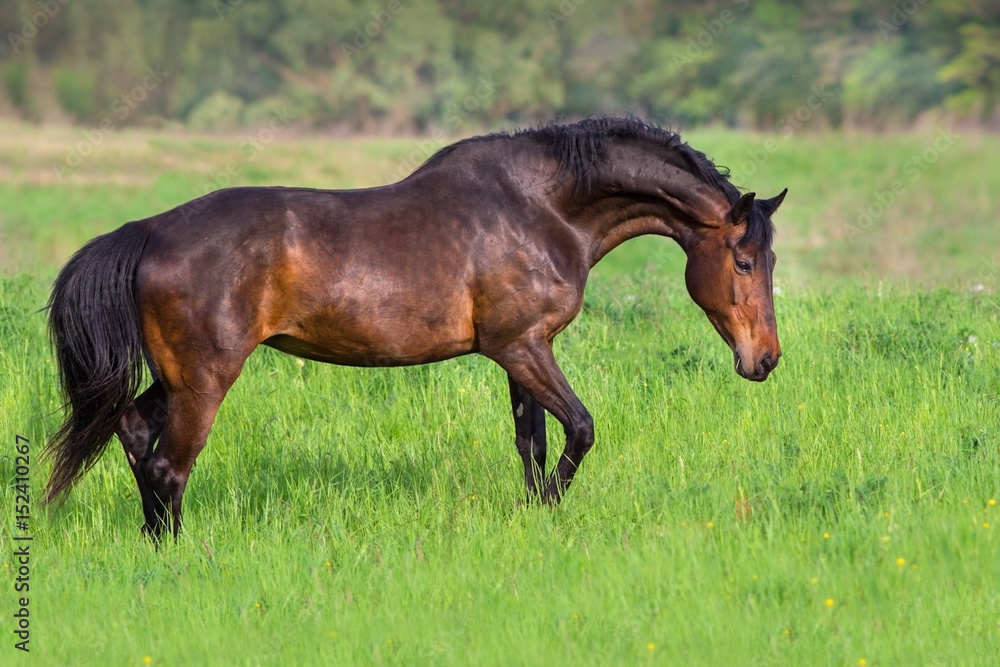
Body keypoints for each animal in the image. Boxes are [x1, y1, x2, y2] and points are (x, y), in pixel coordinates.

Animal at [44, 116, 786, 539]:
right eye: (744, 261)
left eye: (771, 259)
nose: (767, 360)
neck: (541, 207)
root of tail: (148, 230)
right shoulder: (521, 348)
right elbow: (580, 428)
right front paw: (548, 510)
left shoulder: (522, 351)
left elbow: (533, 444)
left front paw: (535, 518)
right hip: (205, 379)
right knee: (168, 466)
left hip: (174, 378)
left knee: (134, 435)